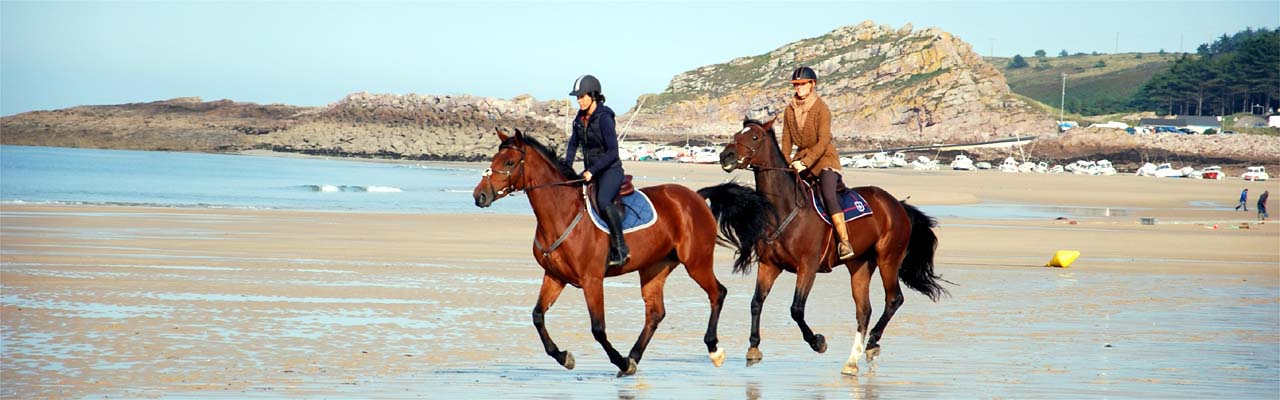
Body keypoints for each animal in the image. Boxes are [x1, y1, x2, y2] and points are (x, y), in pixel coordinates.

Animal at [473, 128, 732, 376]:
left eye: (509, 162)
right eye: (494, 159)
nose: (479, 195)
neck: (561, 213)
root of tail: (695, 196)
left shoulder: (592, 280)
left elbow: (598, 329)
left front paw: (620, 361)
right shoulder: (555, 277)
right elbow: (538, 316)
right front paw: (564, 357)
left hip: (696, 262)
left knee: (717, 293)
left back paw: (713, 349)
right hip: (654, 268)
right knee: (655, 313)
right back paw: (634, 356)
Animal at [696, 117, 947, 374]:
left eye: (754, 137)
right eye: (737, 134)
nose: (725, 156)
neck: (785, 209)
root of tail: (896, 204)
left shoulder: (808, 267)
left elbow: (796, 309)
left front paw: (818, 342)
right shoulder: (769, 266)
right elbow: (756, 303)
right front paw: (754, 348)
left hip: (888, 259)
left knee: (893, 299)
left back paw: (872, 344)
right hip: (859, 265)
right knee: (863, 311)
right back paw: (852, 360)